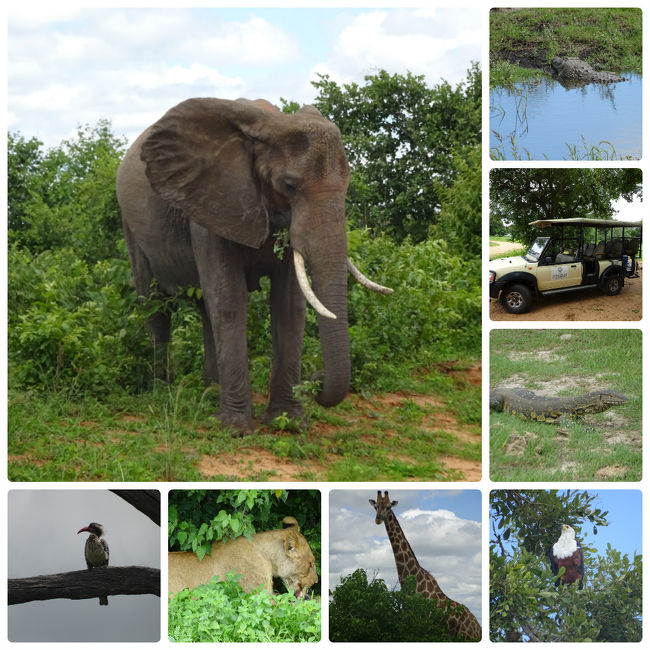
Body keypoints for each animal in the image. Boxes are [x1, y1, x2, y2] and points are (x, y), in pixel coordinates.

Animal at [116, 97, 390, 436]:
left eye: (348, 184)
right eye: (289, 185)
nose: (315, 380)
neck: (271, 124)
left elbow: (288, 305)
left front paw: (289, 423)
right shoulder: (213, 205)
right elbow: (230, 300)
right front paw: (234, 430)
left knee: (205, 309)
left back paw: (209, 390)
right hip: (130, 226)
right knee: (154, 304)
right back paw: (162, 390)